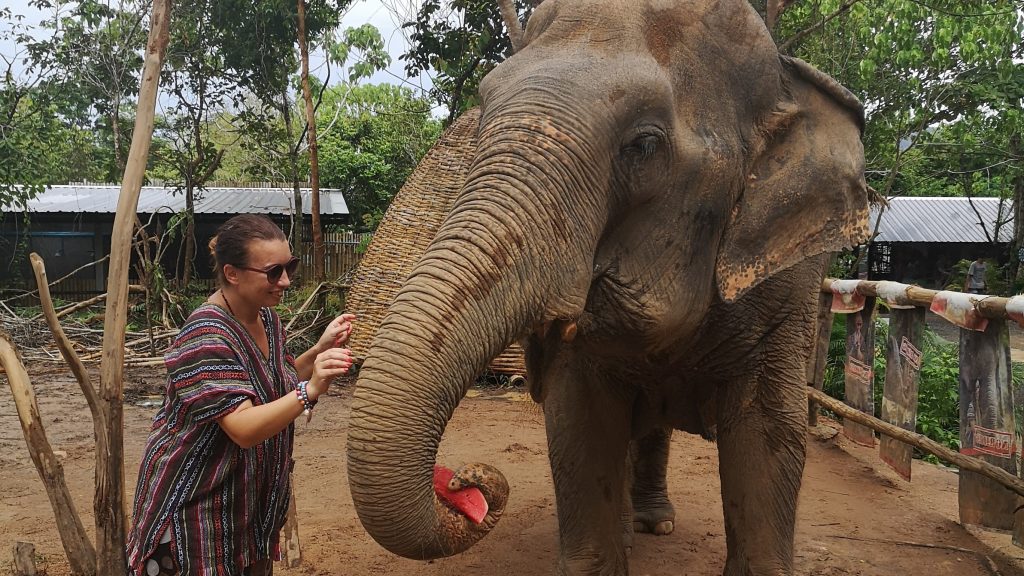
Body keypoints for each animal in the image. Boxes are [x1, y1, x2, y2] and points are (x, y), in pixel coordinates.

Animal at [348, 0, 868, 569]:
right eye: (482, 114)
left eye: (644, 145)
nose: (465, 481)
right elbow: (582, 420)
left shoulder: (788, 279)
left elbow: (769, 430)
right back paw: (635, 529)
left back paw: (656, 524)